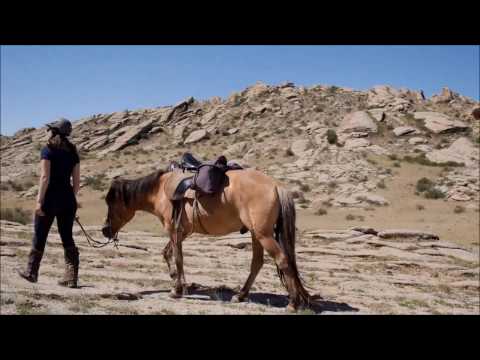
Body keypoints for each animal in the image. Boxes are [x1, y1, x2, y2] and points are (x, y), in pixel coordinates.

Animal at [101, 165, 312, 310]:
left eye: (111, 203)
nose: (105, 230)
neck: (160, 190)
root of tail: (276, 186)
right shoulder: (182, 232)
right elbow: (167, 253)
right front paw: (176, 280)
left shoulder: (173, 230)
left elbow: (178, 258)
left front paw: (177, 290)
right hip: (256, 234)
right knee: (257, 263)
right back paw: (240, 295)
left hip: (263, 235)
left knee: (282, 259)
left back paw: (293, 303)